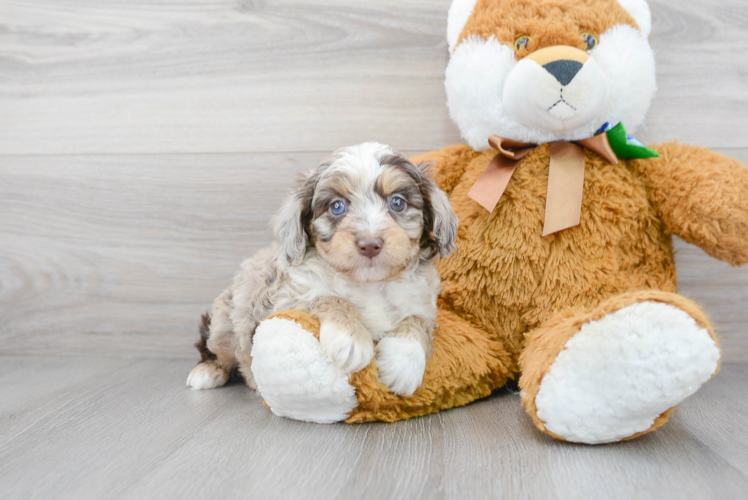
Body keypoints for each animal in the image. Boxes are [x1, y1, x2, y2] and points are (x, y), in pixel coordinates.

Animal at [186, 143, 456, 396]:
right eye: (337, 207)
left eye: (398, 203)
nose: (369, 244)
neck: (371, 284)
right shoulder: (287, 300)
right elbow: (330, 297)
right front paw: (350, 338)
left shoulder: (423, 305)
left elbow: (416, 320)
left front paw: (404, 361)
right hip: (224, 322)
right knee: (218, 350)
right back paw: (207, 372)